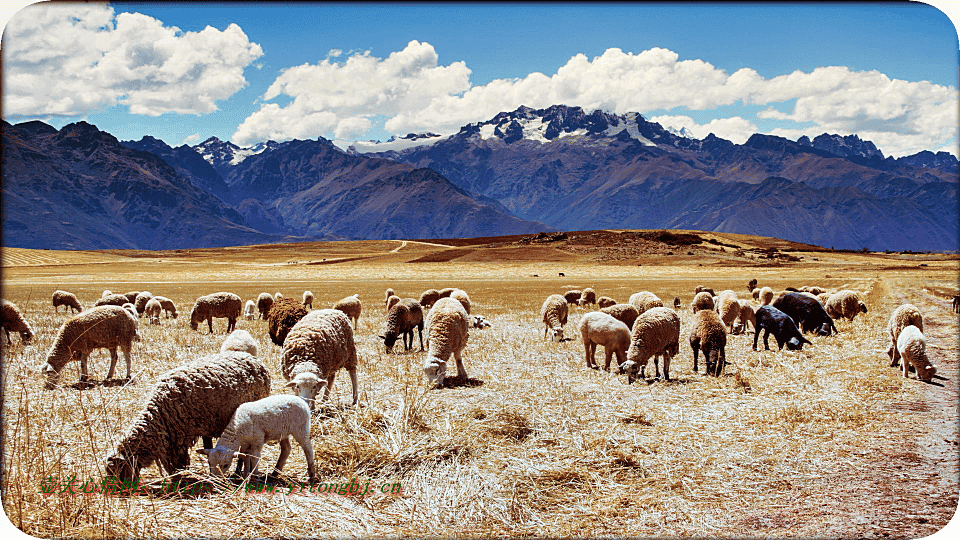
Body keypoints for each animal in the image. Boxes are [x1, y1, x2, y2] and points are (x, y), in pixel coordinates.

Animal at [103, 350, 272, 480]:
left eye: (119, 470)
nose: (123, 490)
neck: (159, 417)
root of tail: (255, 360)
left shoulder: (179, 437)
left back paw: (237, 473)